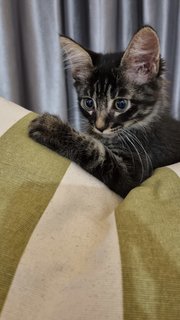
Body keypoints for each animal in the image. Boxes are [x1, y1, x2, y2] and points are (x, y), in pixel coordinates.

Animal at [28, 26, 180, 198]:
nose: (99, 127)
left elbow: (96, 152)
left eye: (121, 104)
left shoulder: (132, 174)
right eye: (88, 103)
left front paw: (52, 128)